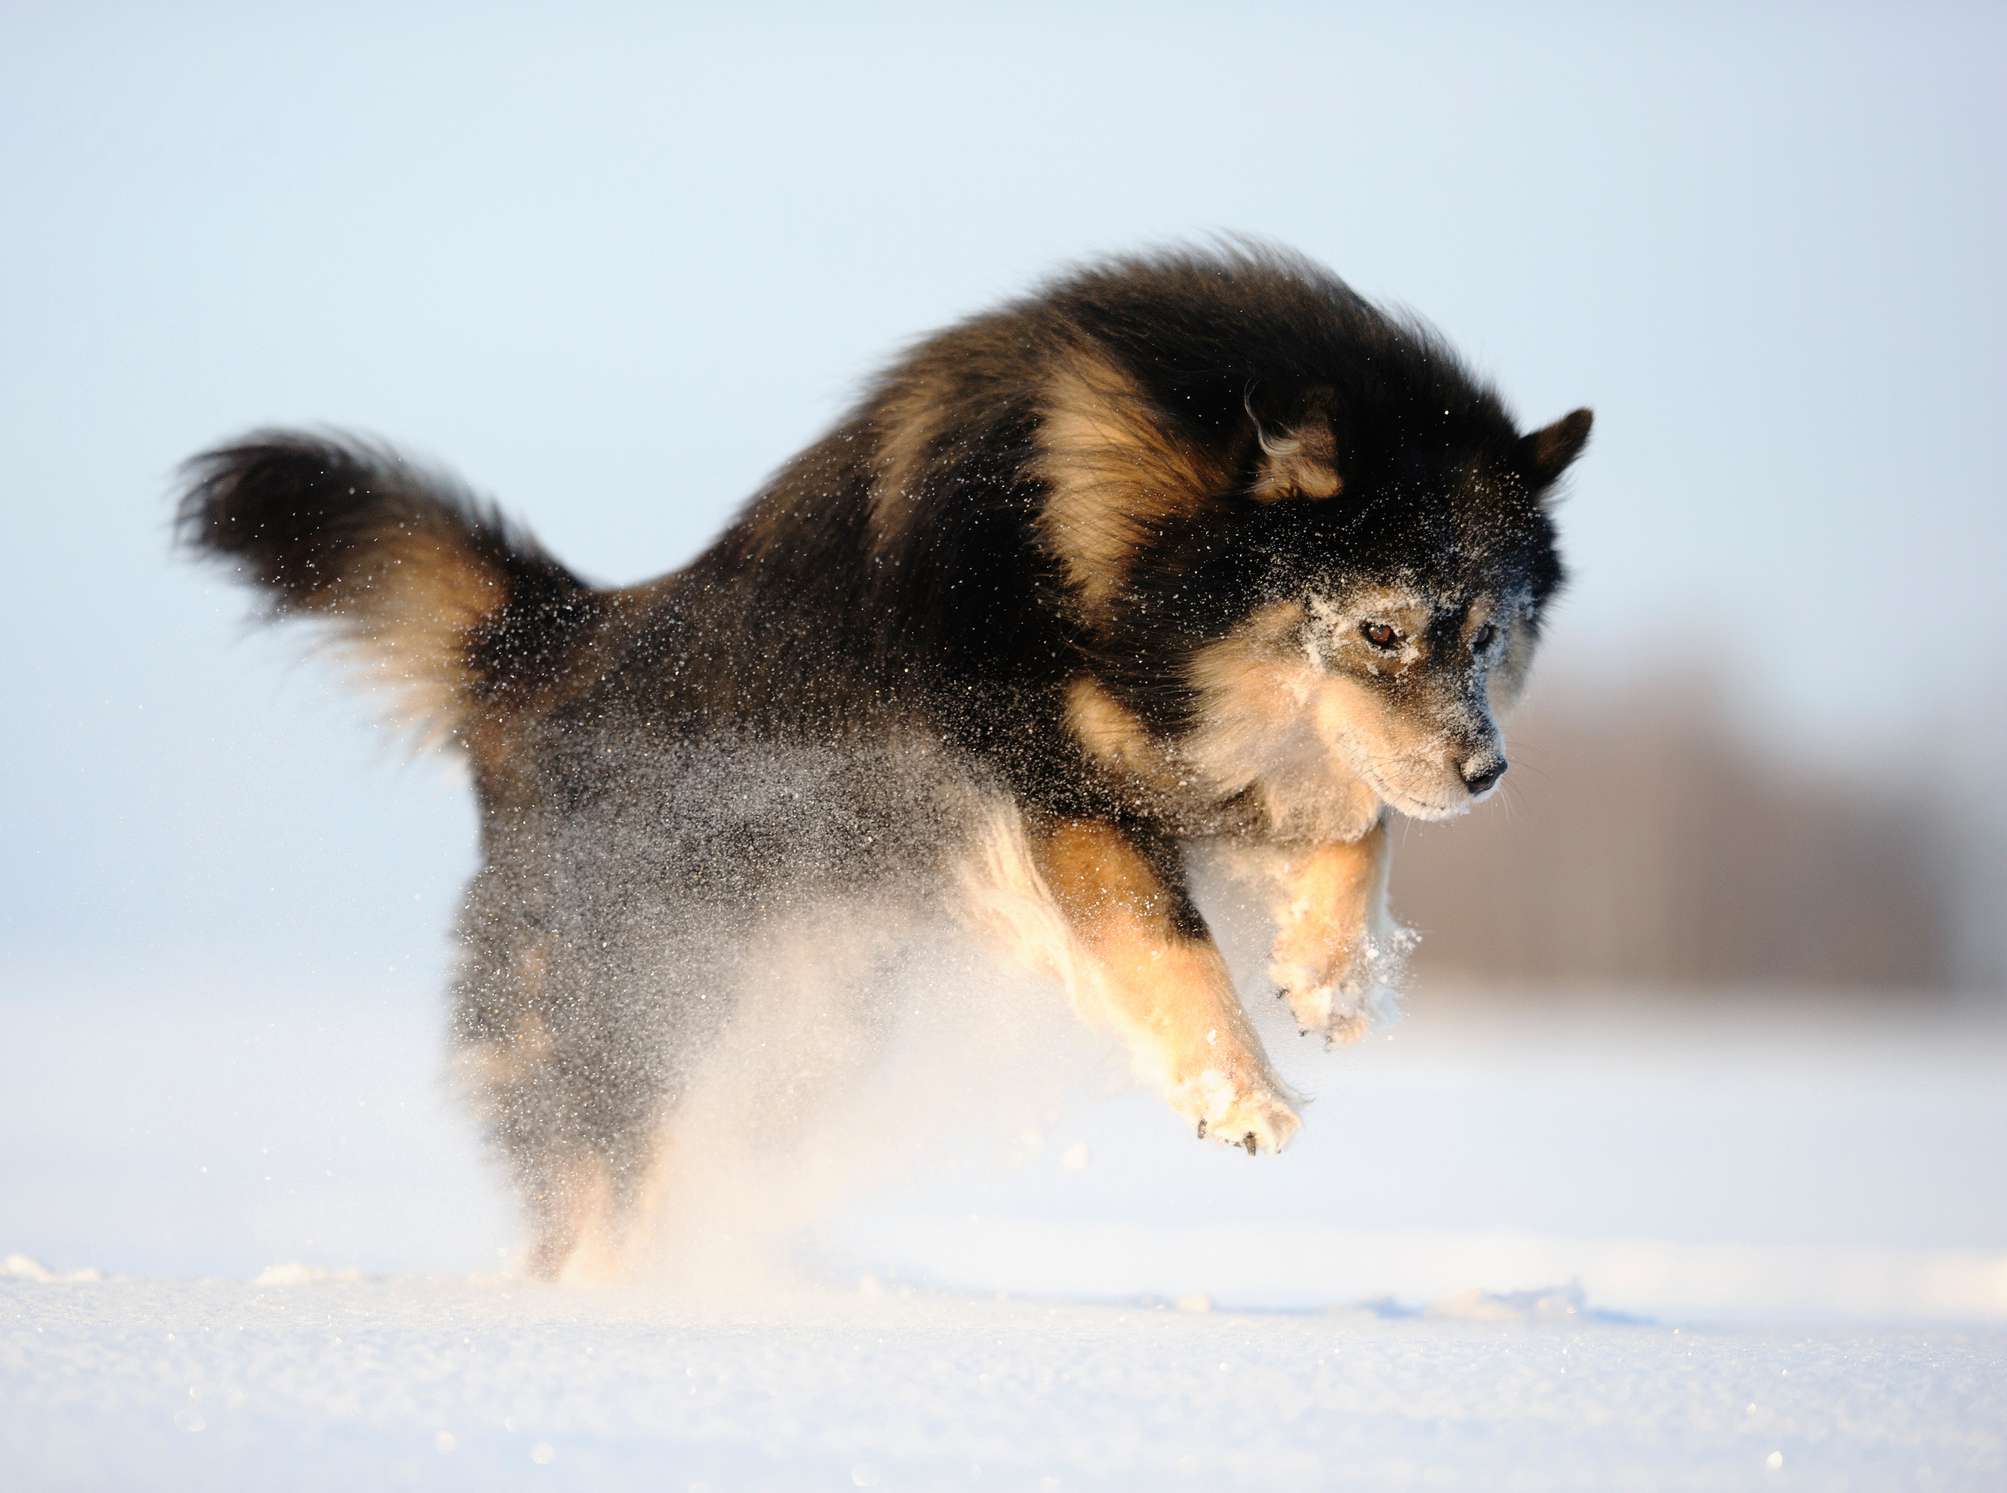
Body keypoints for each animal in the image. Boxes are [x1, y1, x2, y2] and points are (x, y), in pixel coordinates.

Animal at [184, 244, 1597, 1268]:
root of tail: (543, 648)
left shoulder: (1247, 757)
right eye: (1381, 625)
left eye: (1488, 632)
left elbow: (1362, 819)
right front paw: (1239, 1092)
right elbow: (1174, 939)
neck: (1110, 530)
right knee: (590, 1177)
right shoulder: (1060, 788)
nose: (1491, 774)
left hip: (800, 1009)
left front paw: (1332, 974)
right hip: (628, 1003)